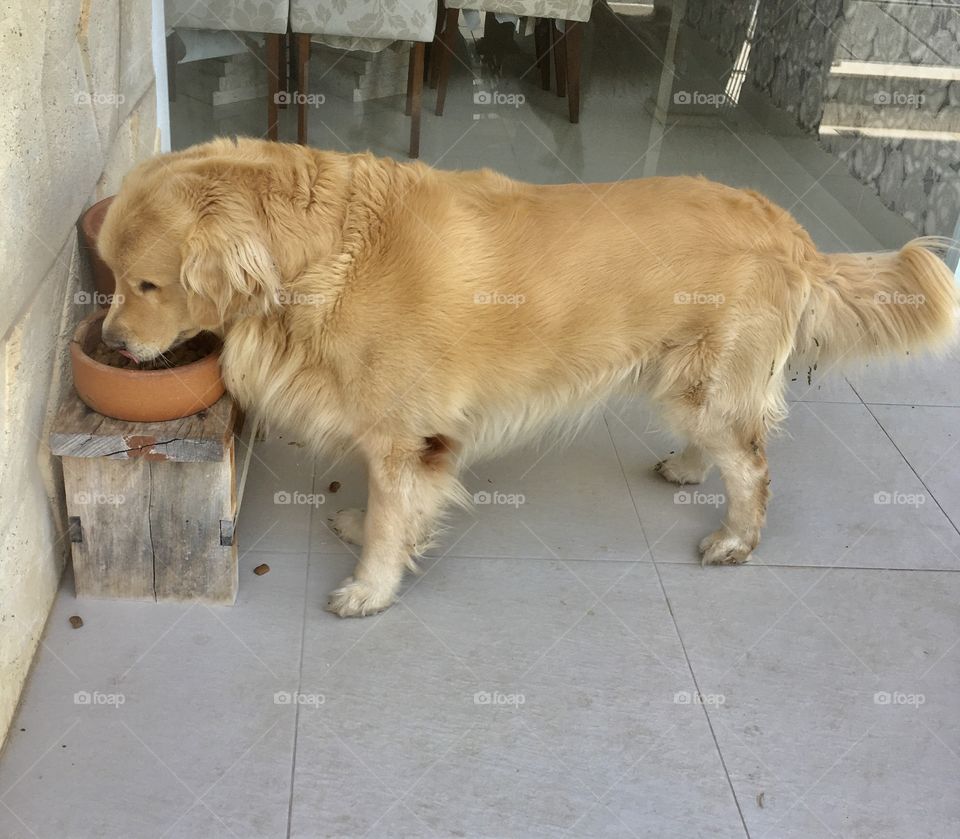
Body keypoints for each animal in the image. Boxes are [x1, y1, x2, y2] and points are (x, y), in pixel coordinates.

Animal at [97, 136, 960, 616]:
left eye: (145, 284)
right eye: (106, 272)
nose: (108, 342)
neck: (321, 255)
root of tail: (790, 228)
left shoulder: (405, 434)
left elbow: (391, 516)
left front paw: (370, 586)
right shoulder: (392, 432)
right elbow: (387, 506)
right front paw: (363, 527)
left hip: (709, 383)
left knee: (752, 464)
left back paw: (733, 539)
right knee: (725, 445)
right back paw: (687, 466)